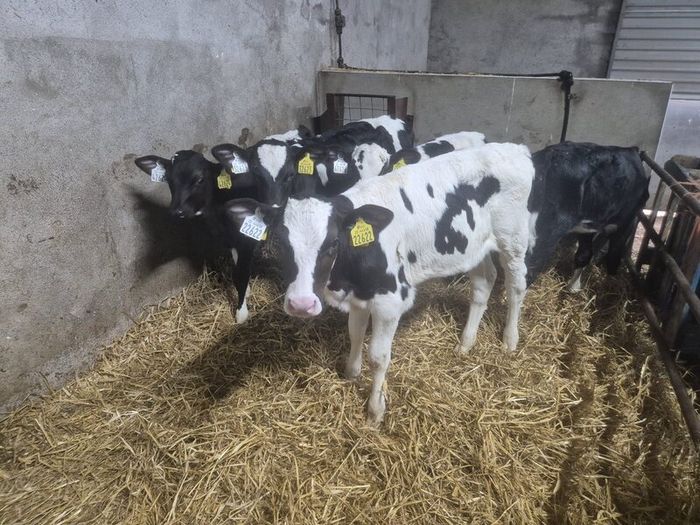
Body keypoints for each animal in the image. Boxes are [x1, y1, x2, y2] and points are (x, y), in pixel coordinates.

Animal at [225, 143, 534, 425]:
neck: (347, 274)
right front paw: (351, 372)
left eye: (333, 243)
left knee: (516, 286)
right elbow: (355, 333)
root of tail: (515, 148)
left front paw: (375, 411)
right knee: (484, 282)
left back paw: (510, 339)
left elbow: (379, 356)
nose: (302, 304)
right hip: (474, 247)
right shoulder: (360, 296)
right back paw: (466, 343)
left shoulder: (389, 302)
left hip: (513, 240)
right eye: (280, 242)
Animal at [525, 142, 650, 291]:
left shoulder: (586, 228)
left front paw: (573, 287)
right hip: (547, 230)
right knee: (529, 267)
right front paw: (610, 280)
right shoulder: (627, 222)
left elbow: (584, 254)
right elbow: (614, 254)